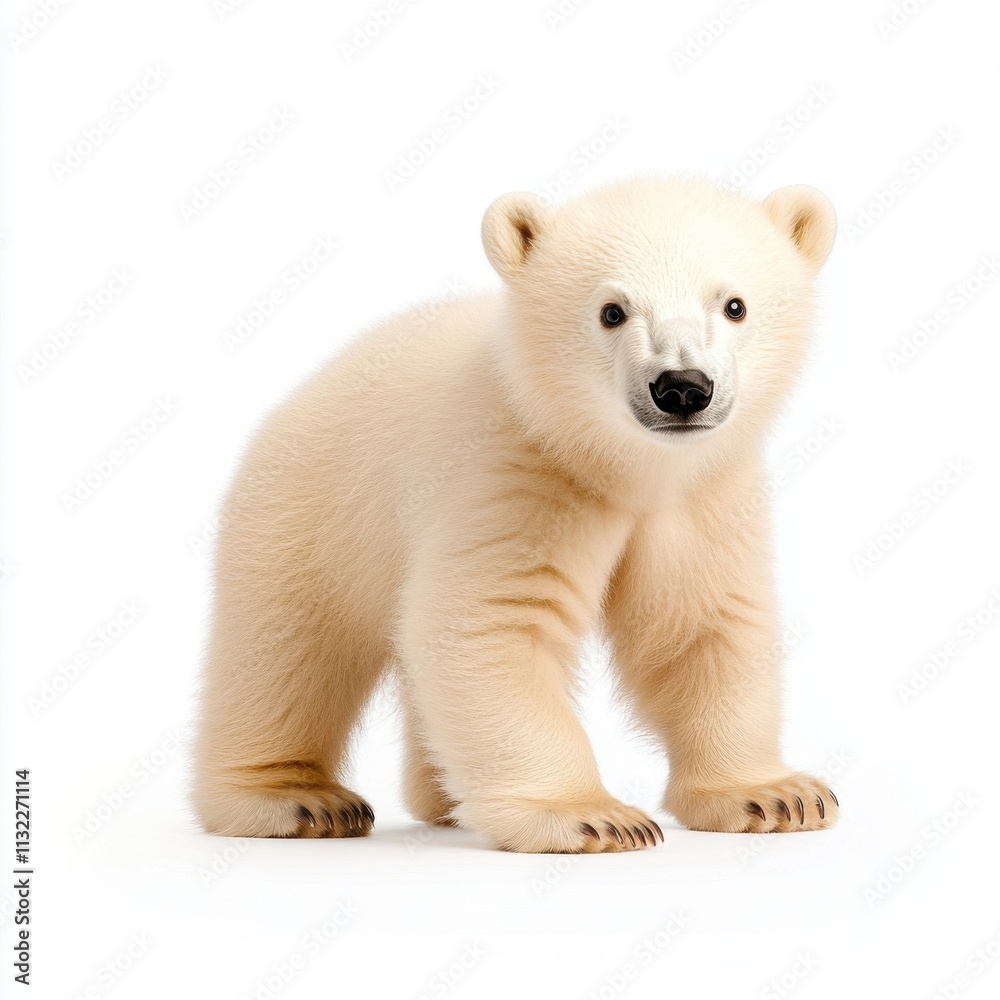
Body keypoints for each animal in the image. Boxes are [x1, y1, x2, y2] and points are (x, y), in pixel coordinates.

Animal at [192, 175, 839, 853]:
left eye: (734, 304)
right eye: (612, 311)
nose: (682, 387)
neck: (609, 461)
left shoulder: (703, 497)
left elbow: (702, 622)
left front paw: (777, 794)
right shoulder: (514, 474)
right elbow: (493, 622)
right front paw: (592, 816)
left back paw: (442, 797)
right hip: (307, 508)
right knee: (284, 650)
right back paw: (299, 800)